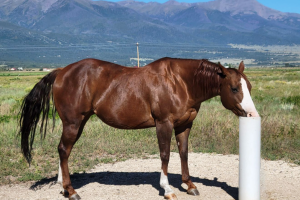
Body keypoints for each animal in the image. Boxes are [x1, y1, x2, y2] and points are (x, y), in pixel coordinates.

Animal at [18, 57, 258, 199]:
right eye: (234, 88)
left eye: (249, 86)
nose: (252, 115)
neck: (180, 82)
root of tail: (61, 72)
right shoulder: (164, 123)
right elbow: (165, 155)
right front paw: (167, 189)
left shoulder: (185, 125)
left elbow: (183, 153)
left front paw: (189, 185)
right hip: (73, 123)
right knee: (63, 150)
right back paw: (70, 190)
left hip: (79, 123)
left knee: (64, 151)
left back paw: (63, 186)